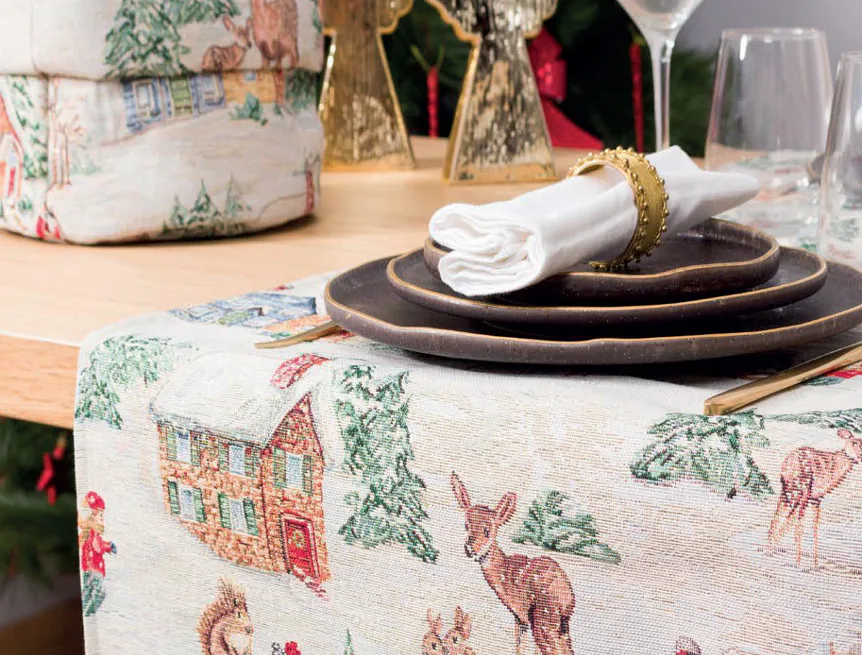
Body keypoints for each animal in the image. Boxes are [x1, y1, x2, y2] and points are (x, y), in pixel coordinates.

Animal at [451, 472, 575, 655]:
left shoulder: (523, 614)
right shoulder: (519, 618)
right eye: (466, 525)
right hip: (561, 624)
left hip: (544, 616)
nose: (470, 548)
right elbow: (520, 646)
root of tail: (567, 596)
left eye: (487, 530)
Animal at [767, 429, 862, 569]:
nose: (860, 456)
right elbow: (800, 524)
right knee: (793, 521)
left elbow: (814, 526)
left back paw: (769, 548)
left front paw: (816, 564)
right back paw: (793, 559)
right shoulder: (810, 496)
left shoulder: (816, 499)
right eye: (853, 442)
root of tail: (787, 464)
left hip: (787, 491)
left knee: (778, 517)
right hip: (802, 489)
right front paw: (801, 563)